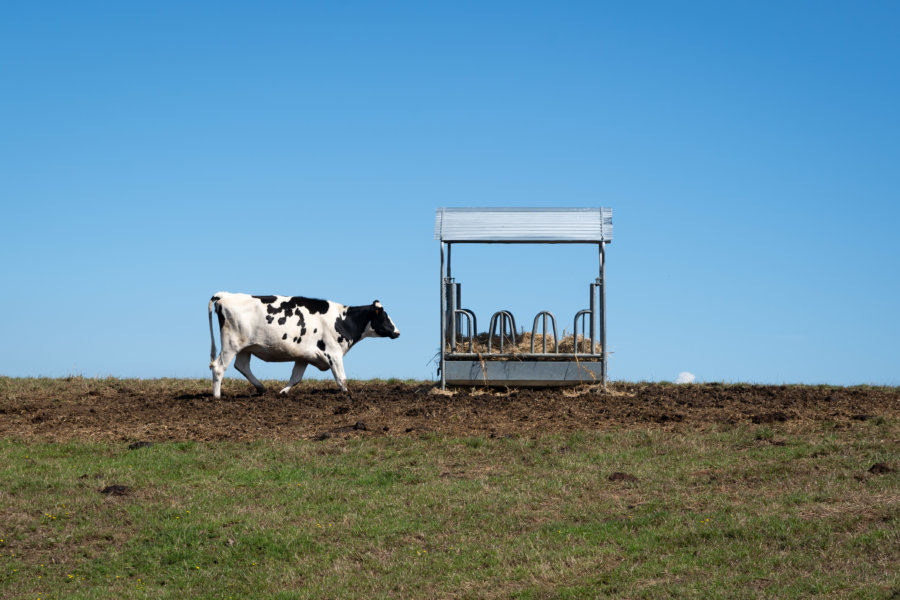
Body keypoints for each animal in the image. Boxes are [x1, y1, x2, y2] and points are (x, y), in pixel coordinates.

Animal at [209, 292, 400, 398]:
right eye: (385, 316)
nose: (397, 332)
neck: (342, 320)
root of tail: (225, 295)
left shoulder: (304, 356)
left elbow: (296, 377)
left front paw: (283, 392)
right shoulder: (333, 353)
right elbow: (341, 378)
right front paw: (347, 394)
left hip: (245, 347)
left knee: (241, 366)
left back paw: (261, 388)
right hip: (230, 345)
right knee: (219, 367)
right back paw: (217, 397)